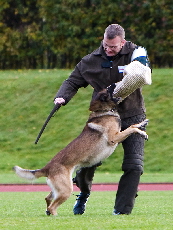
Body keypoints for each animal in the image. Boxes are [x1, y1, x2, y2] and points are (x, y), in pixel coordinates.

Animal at [13, 89, 149, 216]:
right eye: (109, 89)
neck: (102, 111)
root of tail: (47, 168)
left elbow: (133, 125)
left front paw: (142, 124)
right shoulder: (114, 137)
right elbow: (131, 128)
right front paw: (141, 131)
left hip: (59, 189)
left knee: (48, 199)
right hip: (66, 190)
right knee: (52, 206)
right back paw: (56, 216)